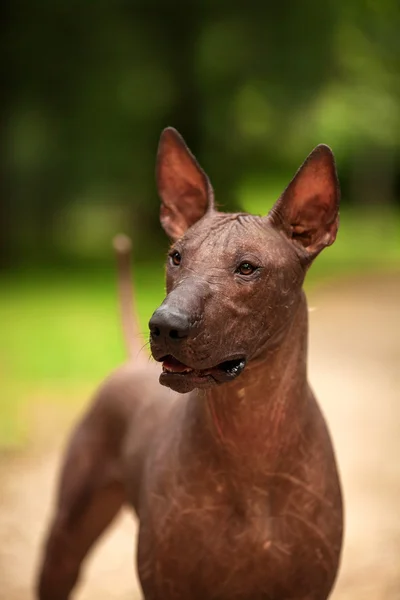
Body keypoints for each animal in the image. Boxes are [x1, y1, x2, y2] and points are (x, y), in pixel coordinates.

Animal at [38, 125, 344, 596]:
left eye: (247, 268)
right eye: (176, 256)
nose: (164, 325)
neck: (250, 440)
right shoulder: (168, 583)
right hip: (66, 539)